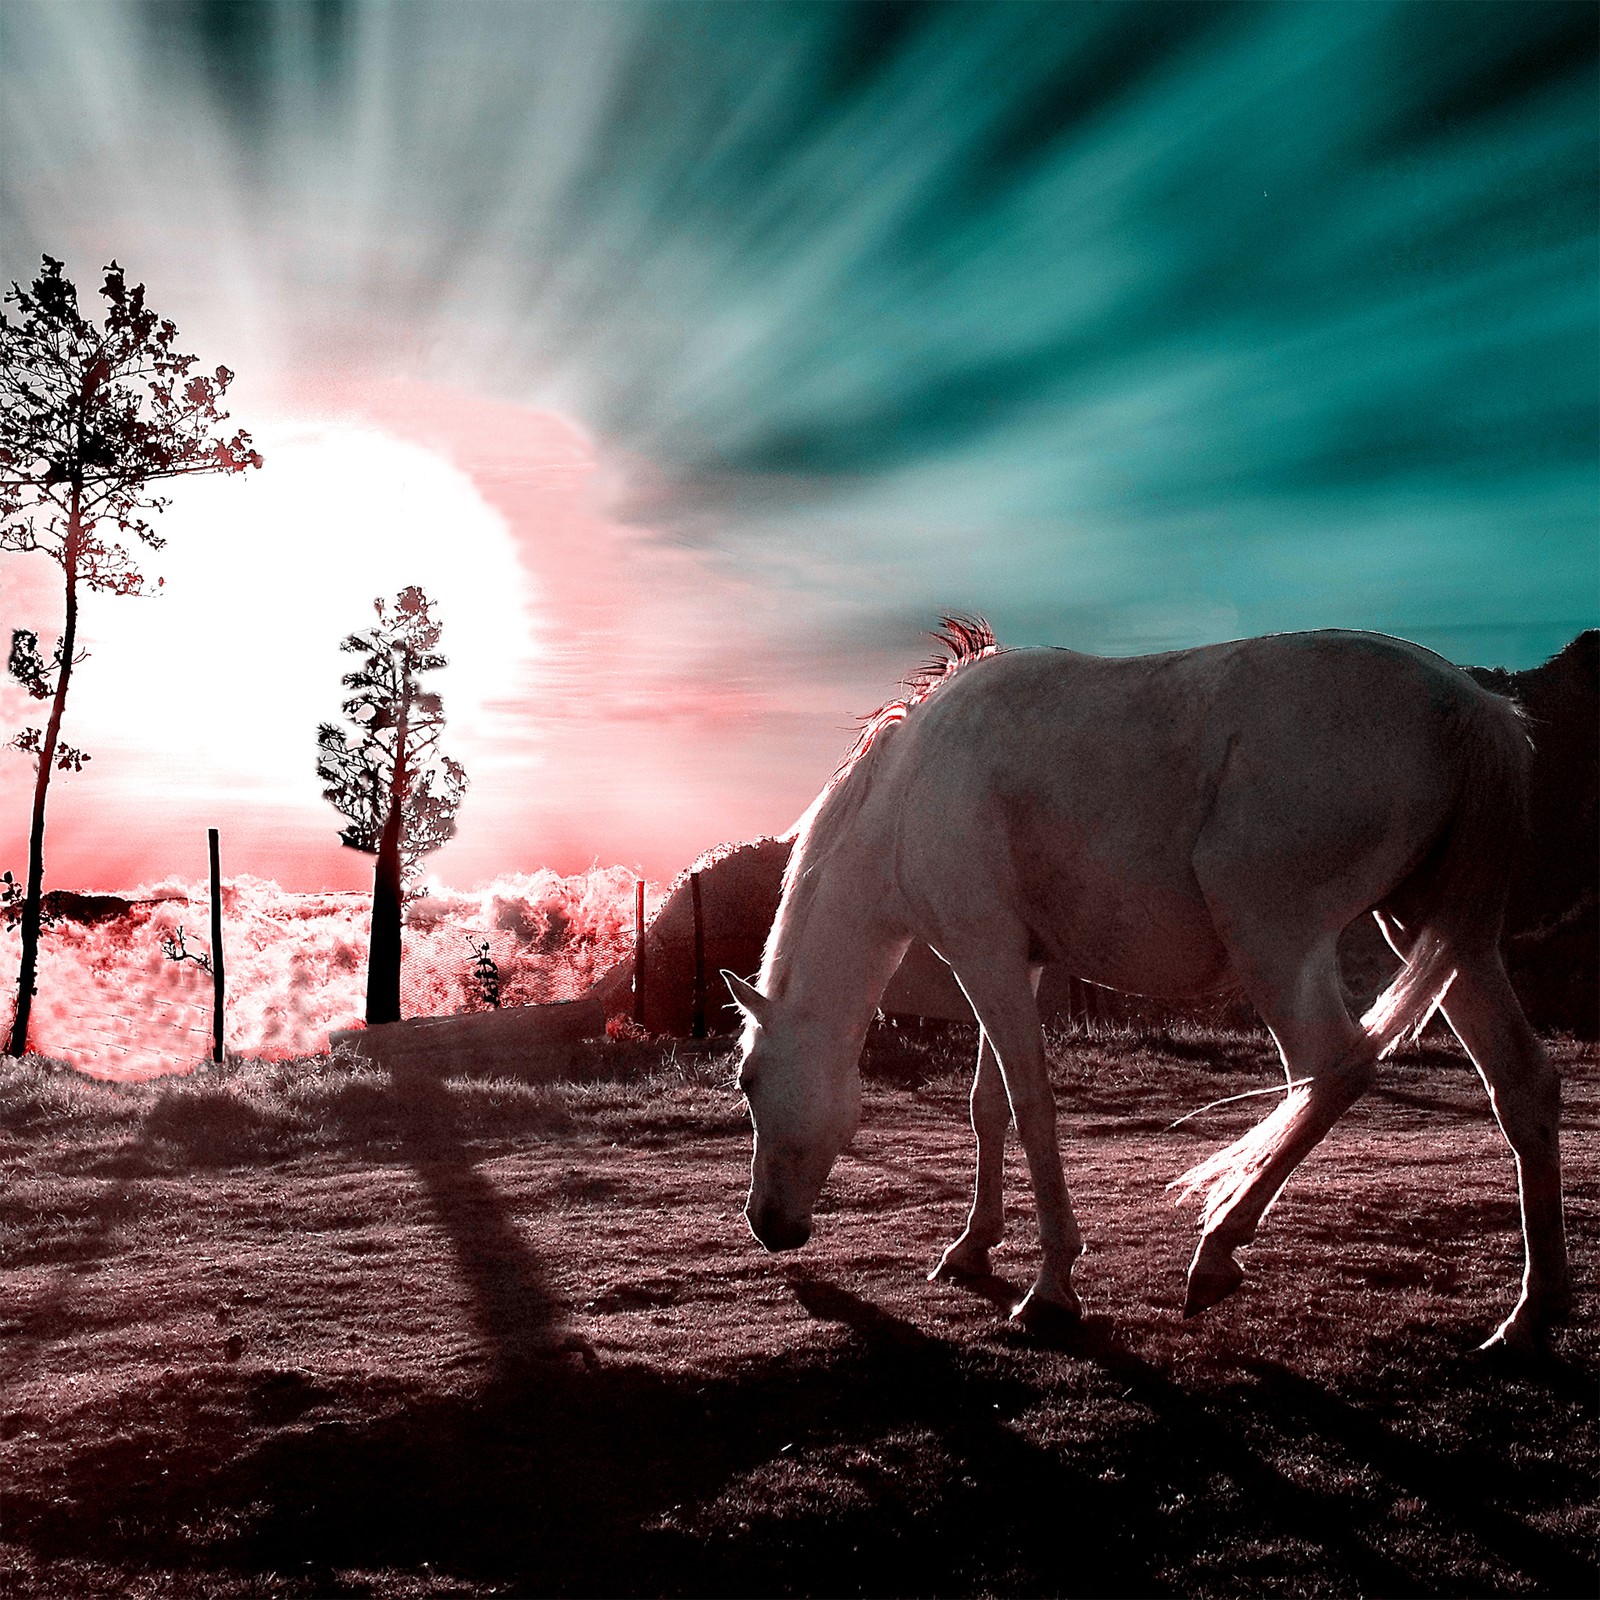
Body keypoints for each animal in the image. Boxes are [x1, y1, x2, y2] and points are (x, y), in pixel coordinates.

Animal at [732, 624, 1568, 1350]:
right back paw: (1533, 1313)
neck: (910, 788)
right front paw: (972, 1248)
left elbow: (1031, 1109)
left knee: (1333, 1072)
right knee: (1523, 1085)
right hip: (1439, 935)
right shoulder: (1014, 963)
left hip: (1276, 940)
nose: (768, 1225)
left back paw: (1218, 1251)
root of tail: (1473, 706)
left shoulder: (984, 957)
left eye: (747, 1081)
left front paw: (1051, 1288)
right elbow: (987, 1107)